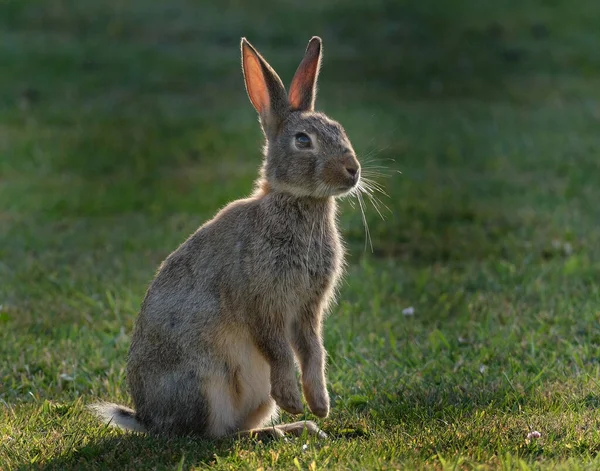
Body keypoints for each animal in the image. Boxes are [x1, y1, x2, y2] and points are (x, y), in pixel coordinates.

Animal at [89, 36, 360, 438]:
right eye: (302, 140)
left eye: (340, 130)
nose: (352, 170)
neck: (296, 201)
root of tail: (148, 418)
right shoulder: (262, 302)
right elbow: (280, 350)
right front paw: (294, 401)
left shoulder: (308, 309)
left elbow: (314, 351)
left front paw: (319, 406)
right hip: (207, 381)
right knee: (211, 435)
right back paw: (282, 429)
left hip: (255, 395)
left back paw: (298, 428)